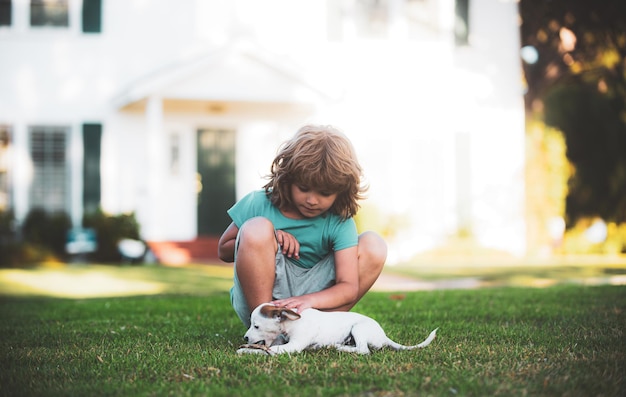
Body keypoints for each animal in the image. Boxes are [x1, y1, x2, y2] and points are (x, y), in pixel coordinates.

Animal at [236, 302, 436, 354]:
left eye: (256, 326)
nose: (245, 338)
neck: (292, 321)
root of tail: (383, 336)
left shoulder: (293, 346)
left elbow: (271, 349)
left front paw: (249, 350)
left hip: (358, 328)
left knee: (363, 351)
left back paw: (338, 347)